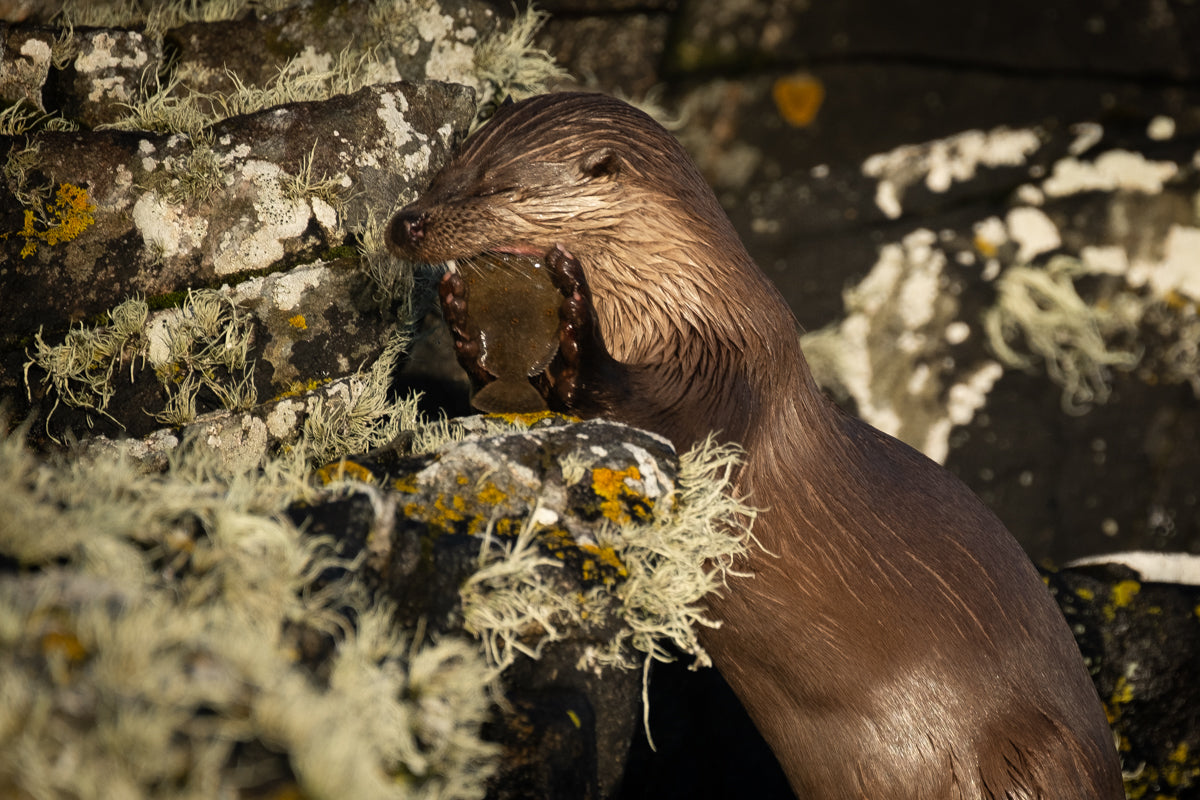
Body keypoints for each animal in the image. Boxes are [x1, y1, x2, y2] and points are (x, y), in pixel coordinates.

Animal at [387, 92, 1124, 799]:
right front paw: (465, 322)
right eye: (442, 171)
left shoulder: (724, 374)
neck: (686, 308)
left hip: (1032, 754)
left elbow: (659, 417)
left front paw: (579, 339)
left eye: (497, 186)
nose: (407, 223)